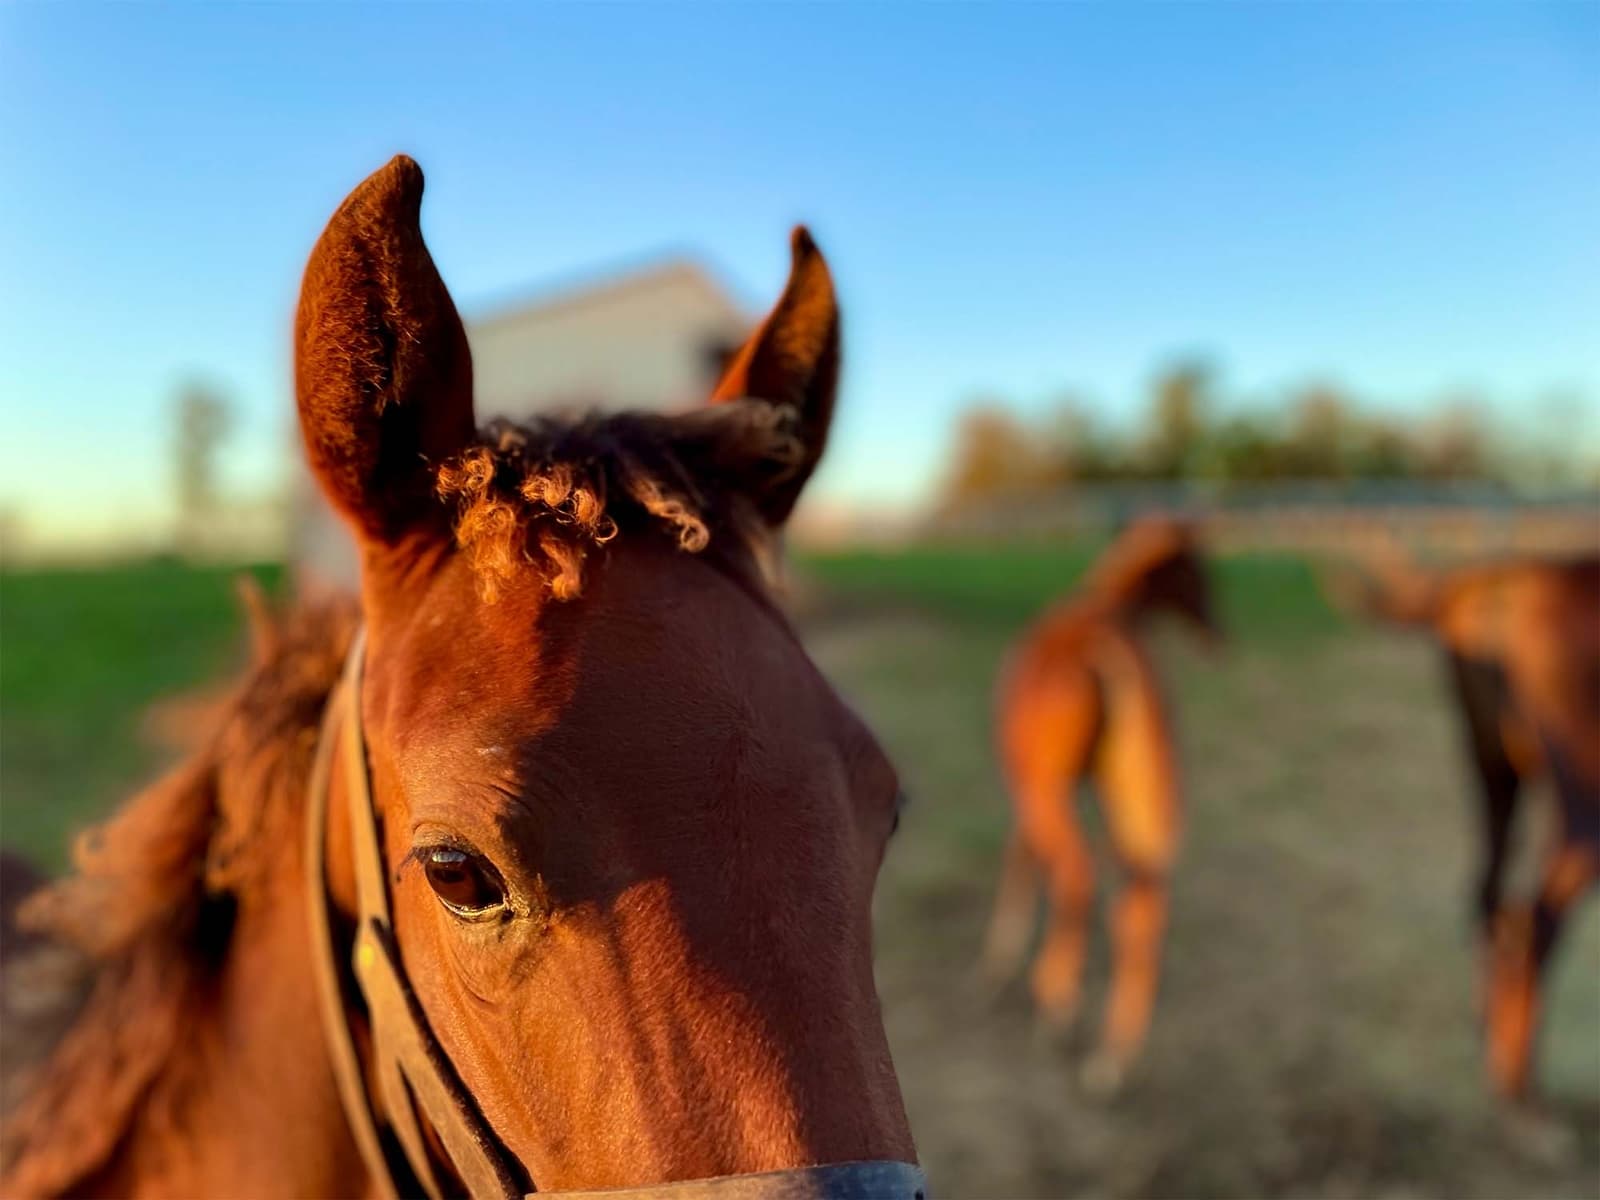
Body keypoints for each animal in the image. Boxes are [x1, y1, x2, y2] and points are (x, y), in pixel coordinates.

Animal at [978, 516, 1218, 1093]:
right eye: (1201, 572)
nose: (1218, 636)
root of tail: (1102, 646)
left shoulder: (1031, 789)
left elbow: (1021, 859)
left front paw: (999, 965)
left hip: (1050, 796)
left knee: (1078, 874)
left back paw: (1057, 1004)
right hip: (1133, 808)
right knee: (1142, 910)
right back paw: (1112, 1061)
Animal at [1329, 539, 1600, 1101]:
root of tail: (1500, 579)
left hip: (1494, 769)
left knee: (1489, 899)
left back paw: (1491, 1045)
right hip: (1582, 797)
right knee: (1533, 920)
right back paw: (1517, 1078)